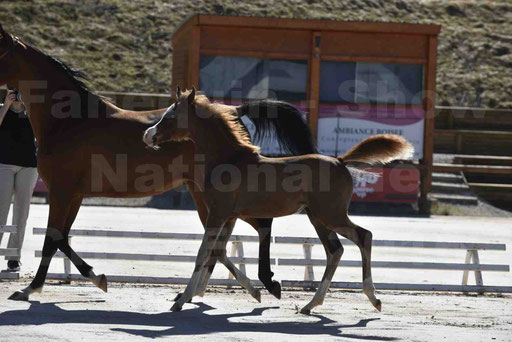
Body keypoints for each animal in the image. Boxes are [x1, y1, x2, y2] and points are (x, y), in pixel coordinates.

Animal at [0, 24, 318, 302]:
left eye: (0, 50)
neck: (69, 121)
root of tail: (233, 111)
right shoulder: (74, 194)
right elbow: (62, 239)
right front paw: (98, 278)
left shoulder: (62, 191)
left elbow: (52, 240)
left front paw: (30, 289)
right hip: (206, 195)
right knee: (221, 242)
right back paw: (210, 291)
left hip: (217, 197)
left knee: (251, 228)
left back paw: (262, 284)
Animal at [142, 88, 414, 312]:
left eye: (170, 116)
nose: (148, 135)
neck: (228, 159)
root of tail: (340, 161)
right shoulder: (228, 216)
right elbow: (215, 251)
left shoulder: (218, 213)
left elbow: (203, 253)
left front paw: (180, 300)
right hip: (318, 217)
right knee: (335, 250)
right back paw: (311, 305)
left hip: (331, 215)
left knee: (363, 236)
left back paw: (373, 298)